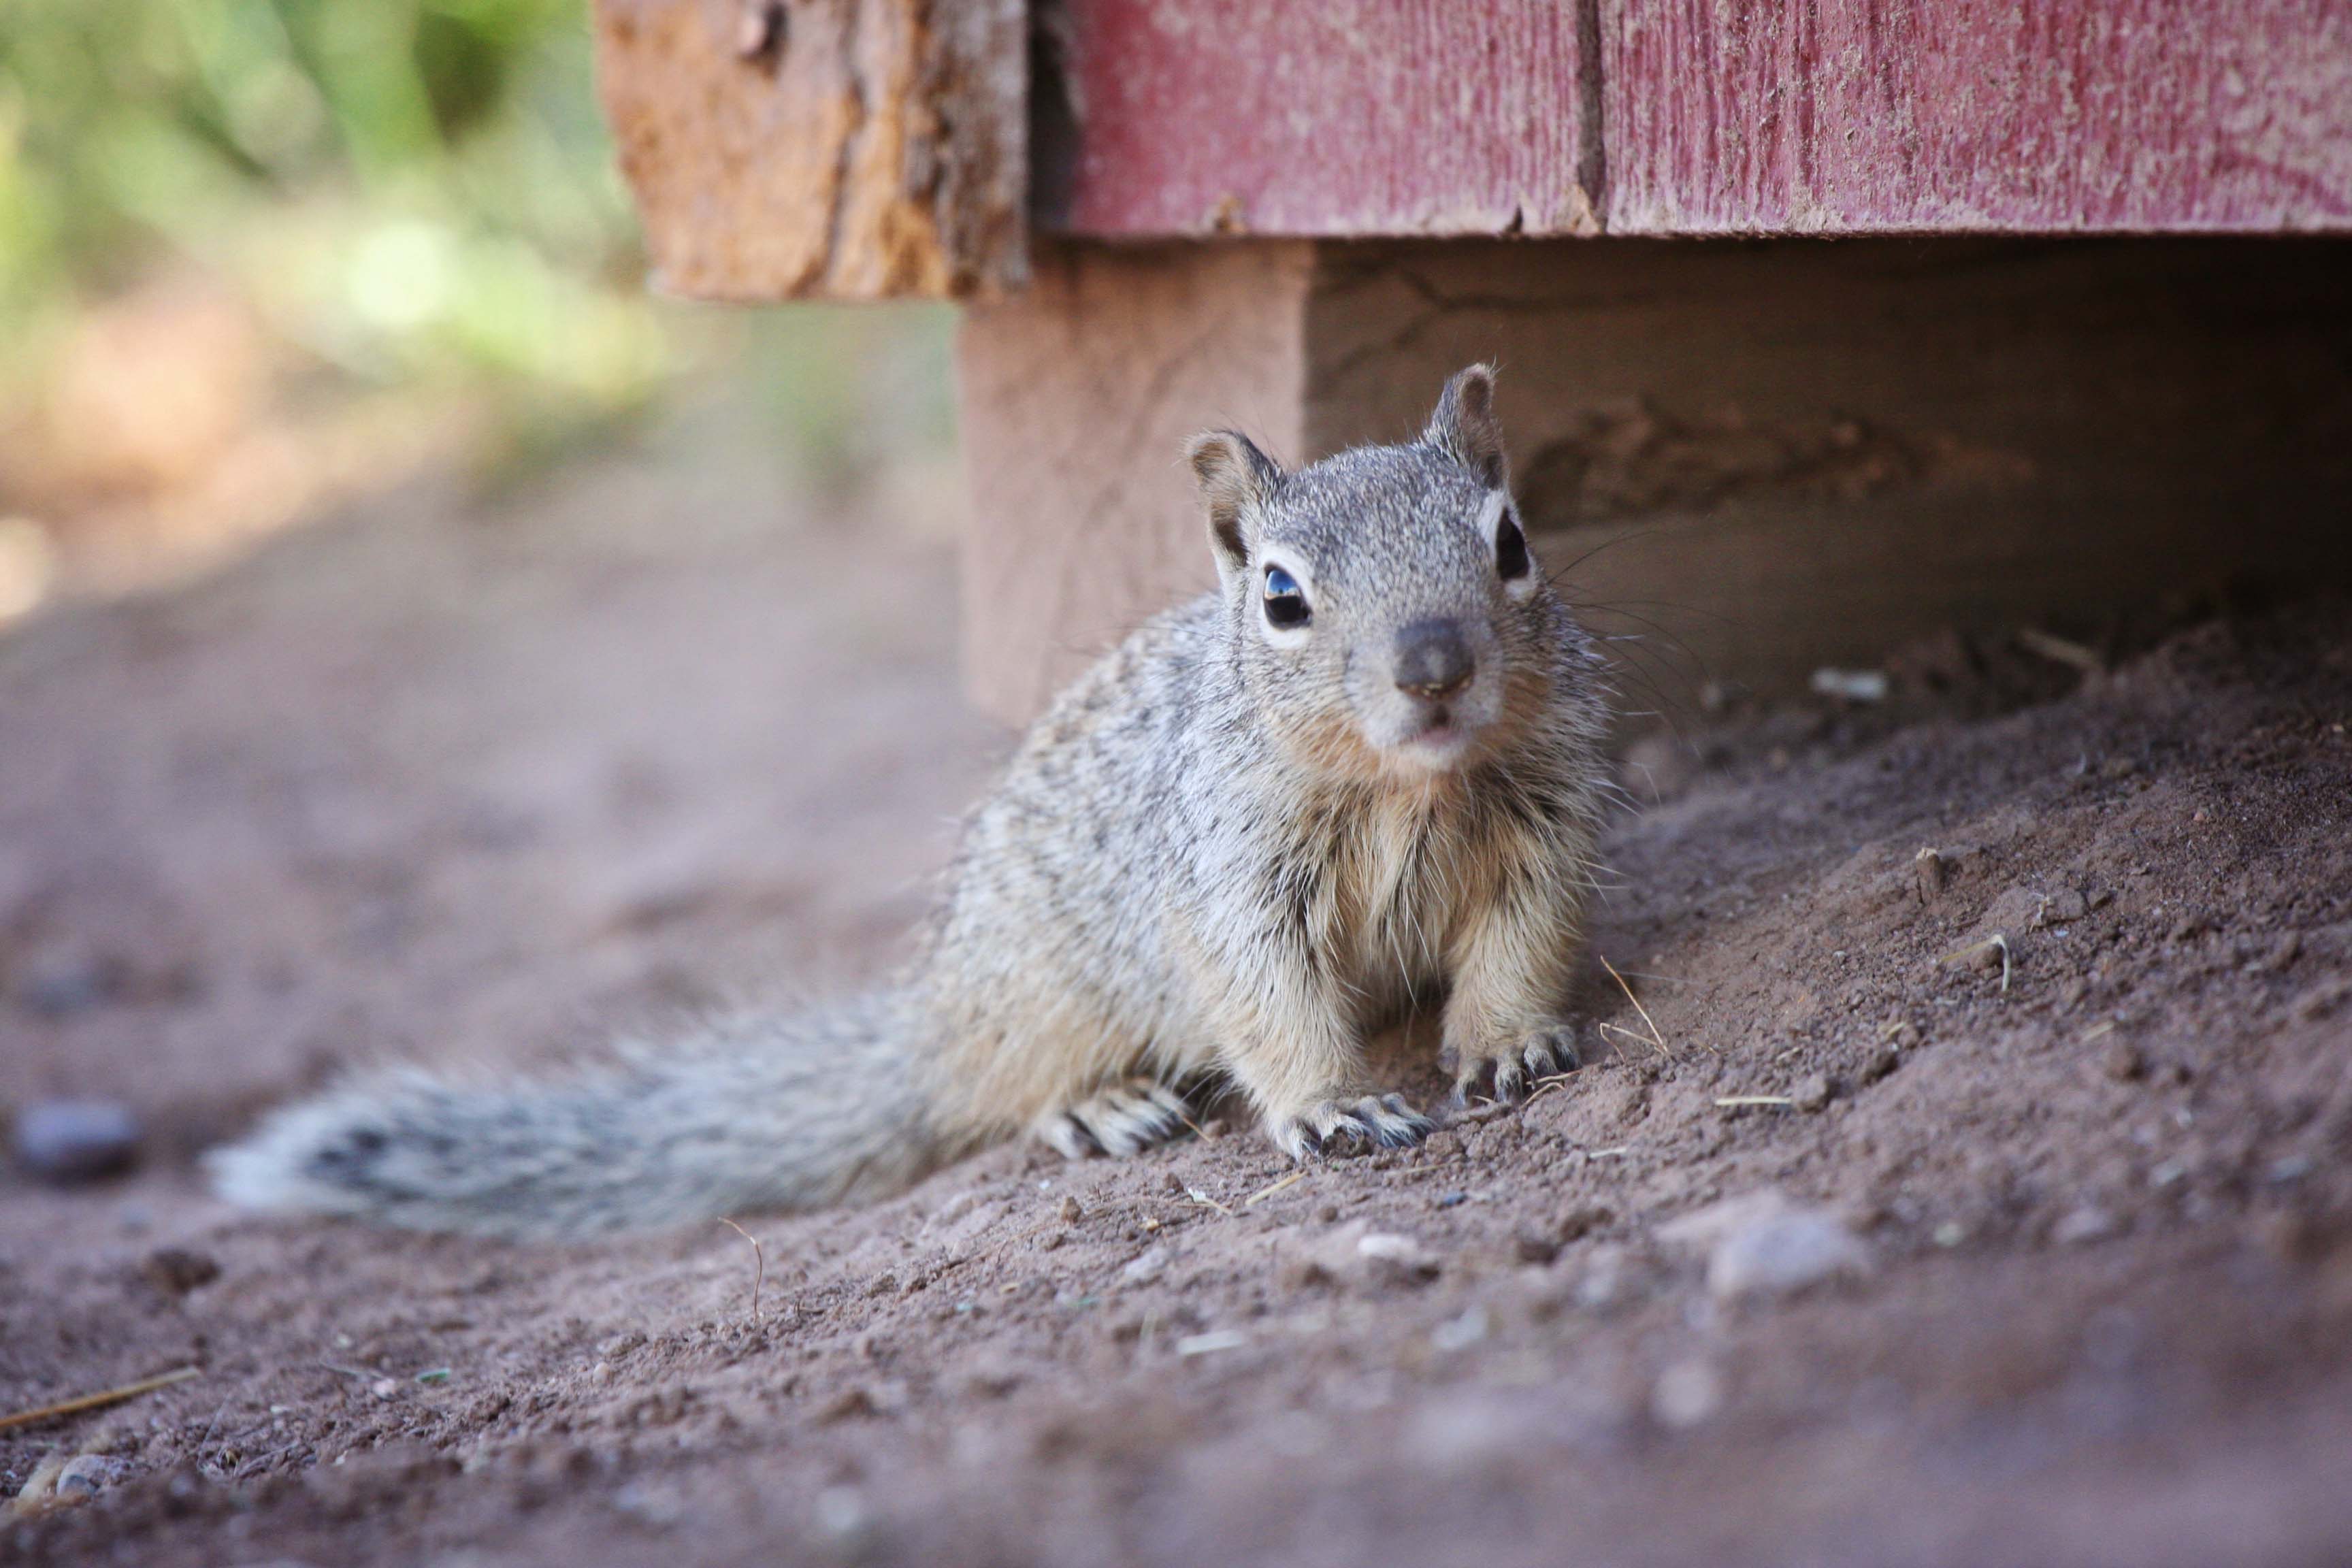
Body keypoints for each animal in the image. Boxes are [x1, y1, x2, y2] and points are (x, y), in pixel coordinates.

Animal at [209, 365, 1611, 1240]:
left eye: (1511, 541)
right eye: (1279, 595)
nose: (1432, 666)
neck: (1405, 786)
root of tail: (932, 1017)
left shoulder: (1544, 826)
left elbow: (1519, 940)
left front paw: (1508, 1040)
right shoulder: (1229, 878)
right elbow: (1263, 999)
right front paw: (1333, 1101)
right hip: (1042, 993)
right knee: (1005, 1087)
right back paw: (1094, 1102)